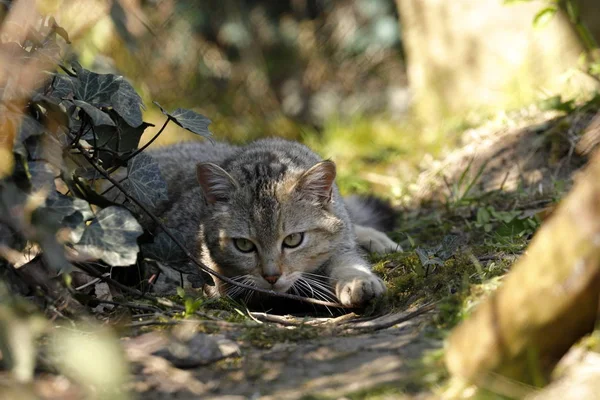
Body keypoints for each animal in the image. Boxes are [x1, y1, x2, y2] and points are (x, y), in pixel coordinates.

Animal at [149, 138, 404, 306]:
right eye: (243, 245)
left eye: (293, 240)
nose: (271, 276)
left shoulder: (341, 243)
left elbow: (347, 260)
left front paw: (358, 281)